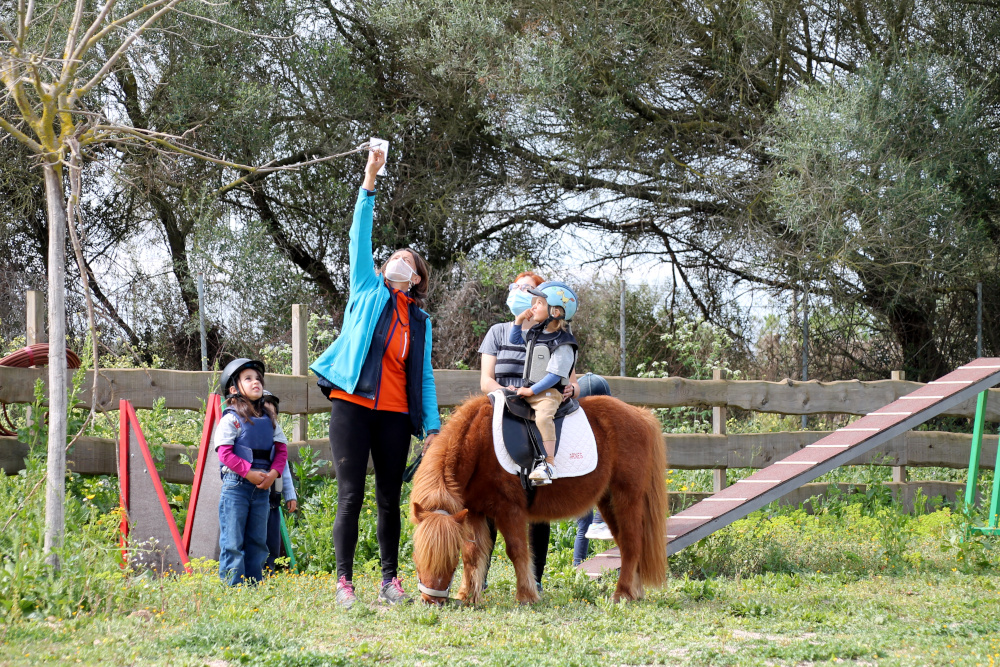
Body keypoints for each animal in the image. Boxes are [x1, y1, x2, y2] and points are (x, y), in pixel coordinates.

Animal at [410, 396, 668, 604]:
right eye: (417, 554)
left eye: (449, 558)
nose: (431, 600)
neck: (480, 441)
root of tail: (641, 414)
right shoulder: (473, 512)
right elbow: (472, 554)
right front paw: (468, 596)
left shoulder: (509, 510)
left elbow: (517, 551)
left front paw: (526, 595)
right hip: (608, 501)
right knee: (625, 544)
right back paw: (635, 591)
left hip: (627, 497)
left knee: (632, 543)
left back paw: (622, 593)